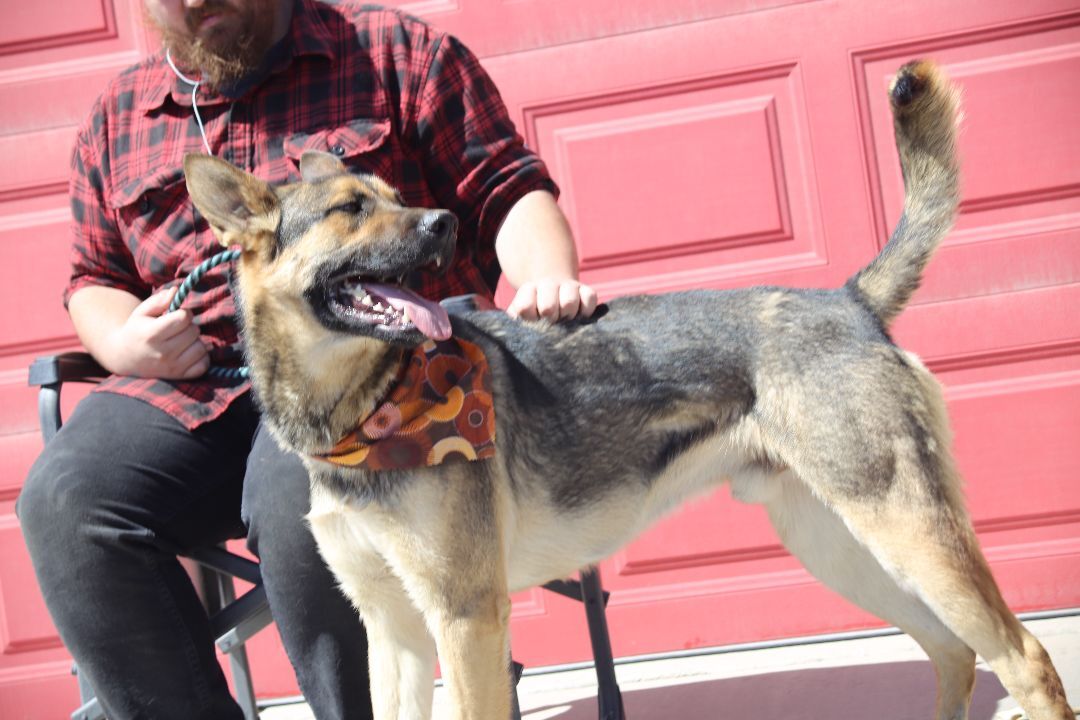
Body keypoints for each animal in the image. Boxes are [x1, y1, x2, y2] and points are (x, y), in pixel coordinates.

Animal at [185, 62, 1071, 720]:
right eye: (347, 209)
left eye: (401, 201)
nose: (443, 223)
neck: (366, 410)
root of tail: (849, 300)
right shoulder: (394, 629)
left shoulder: (465, 617)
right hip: (839, 543)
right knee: (954, 651)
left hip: (905, 530)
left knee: (1024, 657)